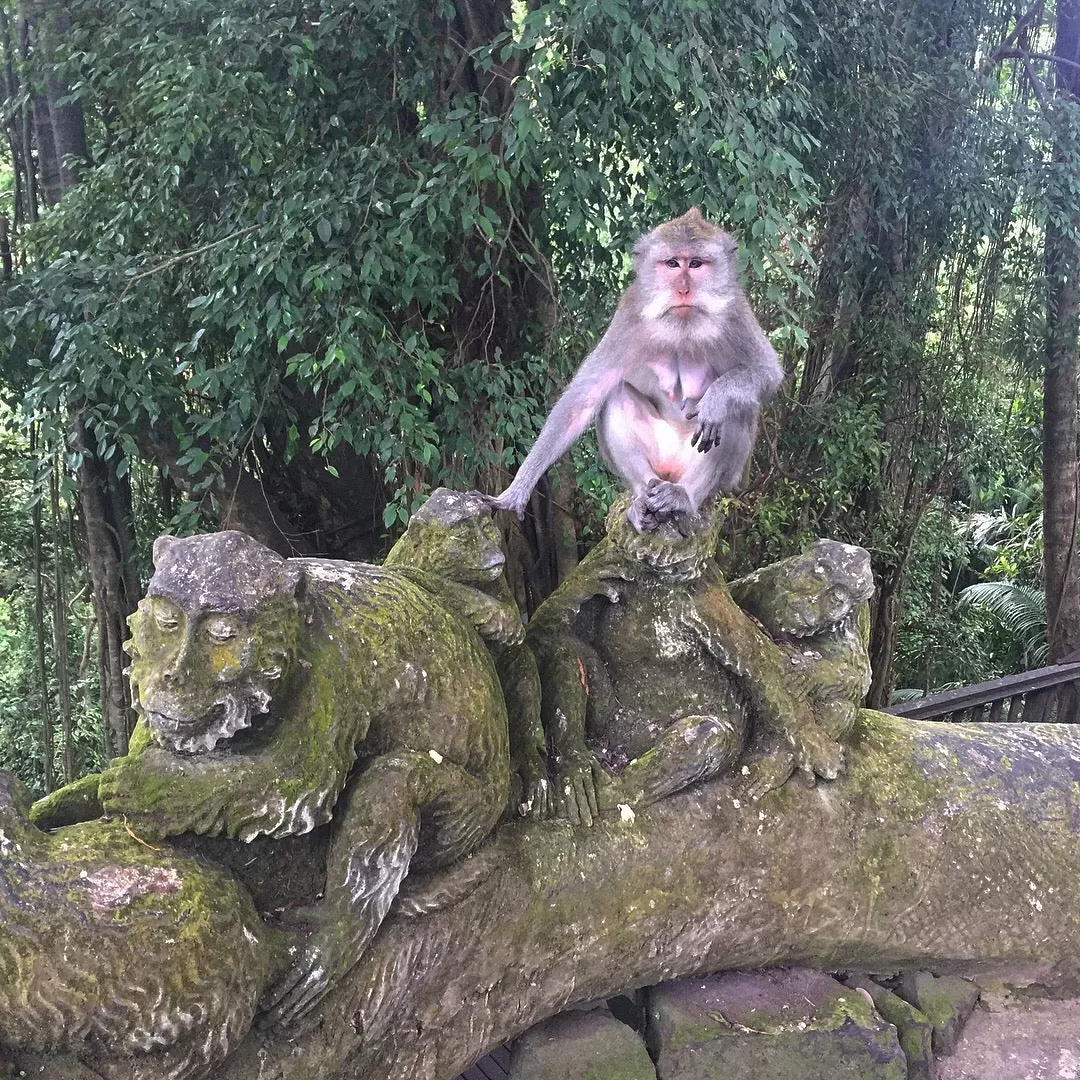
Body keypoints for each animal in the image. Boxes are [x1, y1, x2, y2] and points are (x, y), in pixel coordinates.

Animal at [486, 208, 781, 533]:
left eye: (696, 264)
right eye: (672, 263)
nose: (683, 289)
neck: (682, 325)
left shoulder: (735, 313)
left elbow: (767, 372)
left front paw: (716, 398)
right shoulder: (629, 316)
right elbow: (583, 399)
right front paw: (516, 491)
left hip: (720, 476)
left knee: (737, 411)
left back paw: (683, 496)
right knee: (615, 397)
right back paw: (642, 496)